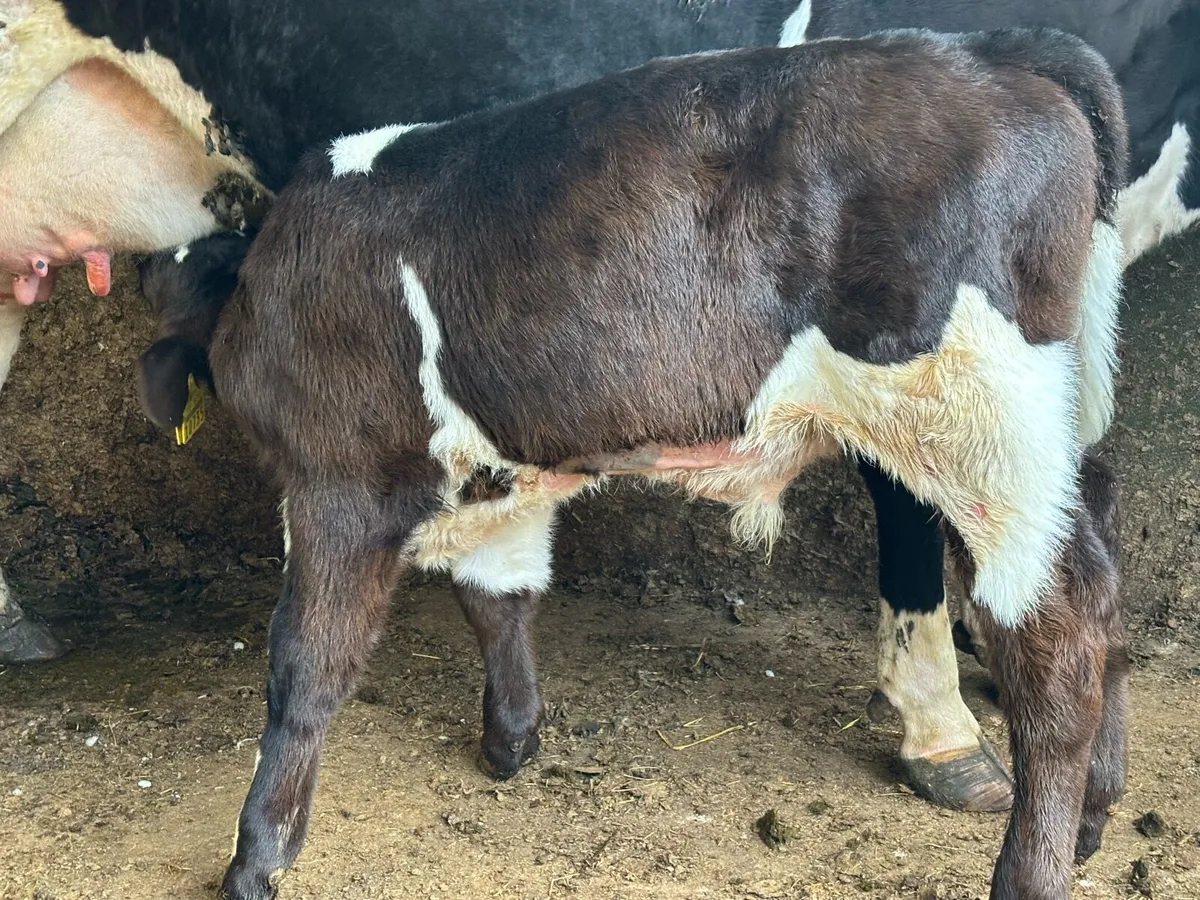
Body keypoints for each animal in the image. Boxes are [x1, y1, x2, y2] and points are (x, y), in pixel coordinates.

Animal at [137, 28, 1128, 899]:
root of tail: (984, 49)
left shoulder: (338, 480)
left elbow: (306, 666)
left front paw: (257, 854)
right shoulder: (507, 471)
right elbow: (498, 599)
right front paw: (511, 741)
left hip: (977, 425)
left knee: (1059, 638)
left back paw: (1032, 869)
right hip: (1038, 429)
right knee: (1104, 576)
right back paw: (1092, 820)